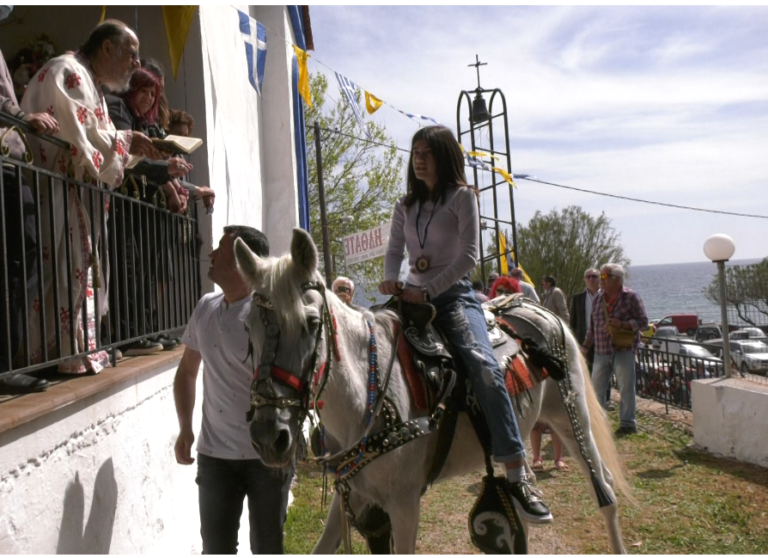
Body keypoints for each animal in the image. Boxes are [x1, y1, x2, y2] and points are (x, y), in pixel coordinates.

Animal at [234, 229, 632, 556]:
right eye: (248, 328)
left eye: (311, 323)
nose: (269, 438)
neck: (366, 394)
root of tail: (536, 310)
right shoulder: (351, 496)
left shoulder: (404, 504)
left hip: (570, 415)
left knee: (606, 489)